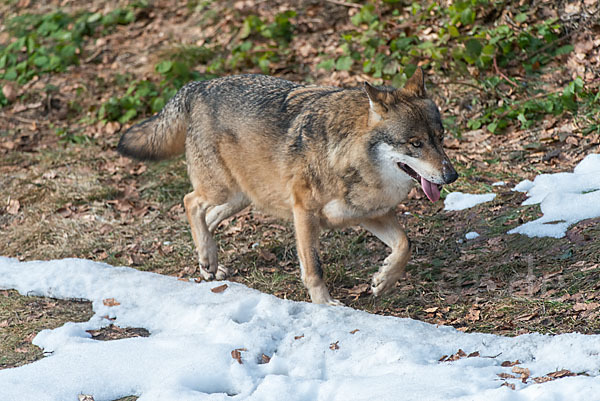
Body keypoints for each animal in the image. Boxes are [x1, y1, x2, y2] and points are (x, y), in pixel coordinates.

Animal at [117, 70, 458, 304]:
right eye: (415, 144)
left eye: (440, 139)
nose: (452, 176)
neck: (349, 157)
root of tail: (200, 85)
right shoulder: (304, 212)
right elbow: (314, 268)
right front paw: (326, 306)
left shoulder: (369, 214)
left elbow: (405, 245)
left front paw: (383, 280)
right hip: (223, 190)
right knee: (190, 202)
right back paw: (207, 260)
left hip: (243, 198)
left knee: (207, 218)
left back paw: (209, 264)